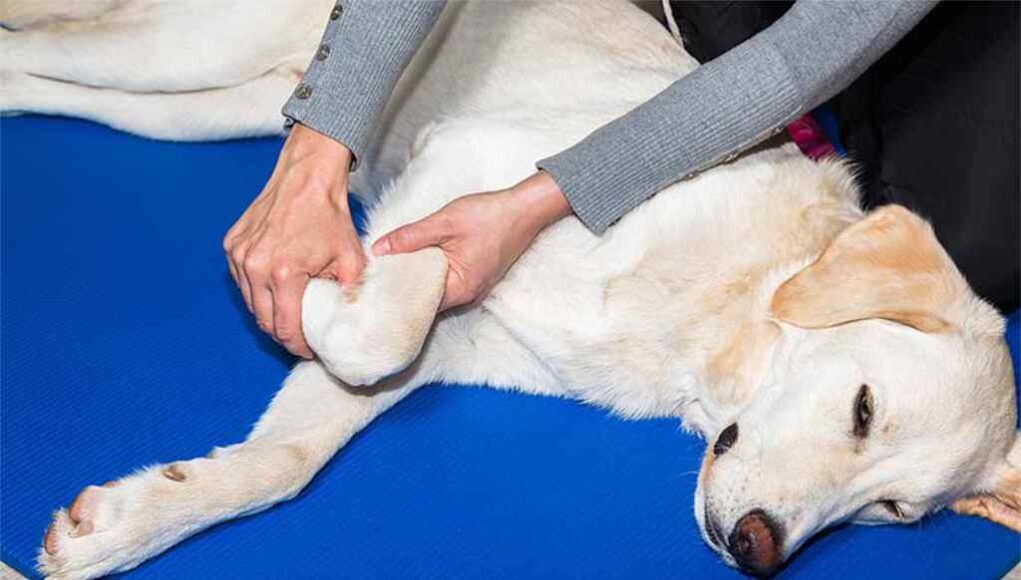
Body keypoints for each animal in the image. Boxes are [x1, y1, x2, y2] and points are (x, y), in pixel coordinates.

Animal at [1, 1, 1021, 580]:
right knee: (37, 42)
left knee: (36, 78)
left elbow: (282, 463)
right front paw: (326, 279)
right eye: (863, 408)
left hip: (208, 106)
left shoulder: (446, 341)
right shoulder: (468, 165)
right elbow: (380, 320)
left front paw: (125, 524)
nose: (758, 551)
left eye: (895, 514)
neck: (704, 326)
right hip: (182, 51)